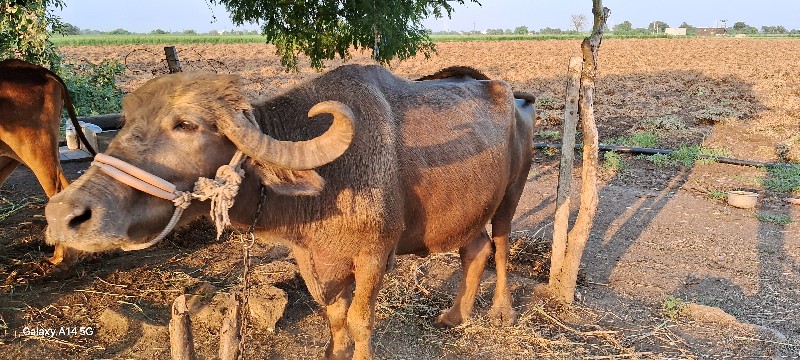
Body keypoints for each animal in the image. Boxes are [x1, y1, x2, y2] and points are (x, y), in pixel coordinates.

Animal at [42, 65, 532, 360]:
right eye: (125, 124)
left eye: (185, 125)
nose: (63, 215)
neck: (329, 180)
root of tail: (513, 97)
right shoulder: (309, 256)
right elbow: (333, 313)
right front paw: (334, 351)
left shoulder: (375, 255)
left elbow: (360, 320)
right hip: (469, 211)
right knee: (475, 249)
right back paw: (454, 316)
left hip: (511, 196)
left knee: (502, 244)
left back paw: (501, 312)